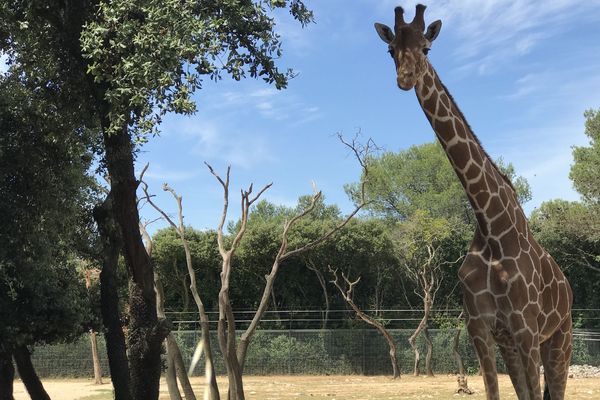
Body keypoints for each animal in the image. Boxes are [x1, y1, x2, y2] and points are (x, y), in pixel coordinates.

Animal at [372, 3, 576, 400]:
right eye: (391, 50)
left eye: (426, 48)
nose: (405, 78)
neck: (491, 224)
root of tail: (568, 288)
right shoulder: (482, 330)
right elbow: (495, 392)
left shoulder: (526, 330)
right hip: (516, 344)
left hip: (560, 338)